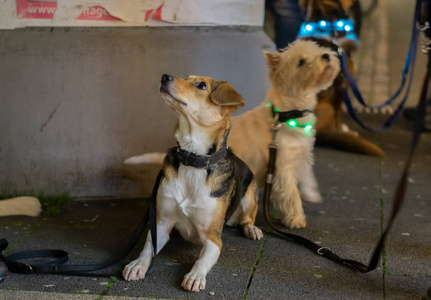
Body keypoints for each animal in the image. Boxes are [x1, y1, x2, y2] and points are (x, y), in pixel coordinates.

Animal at [122, 74, 264, 292]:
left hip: (249, 195)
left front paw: (196, 276)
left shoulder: (213, 238)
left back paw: (252, 229)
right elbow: (148, 247)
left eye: (201, 85)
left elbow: (202, 259)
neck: (193, 160)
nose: (164, 76)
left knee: (248, 217)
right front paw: (138, 264)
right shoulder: (161, 223)